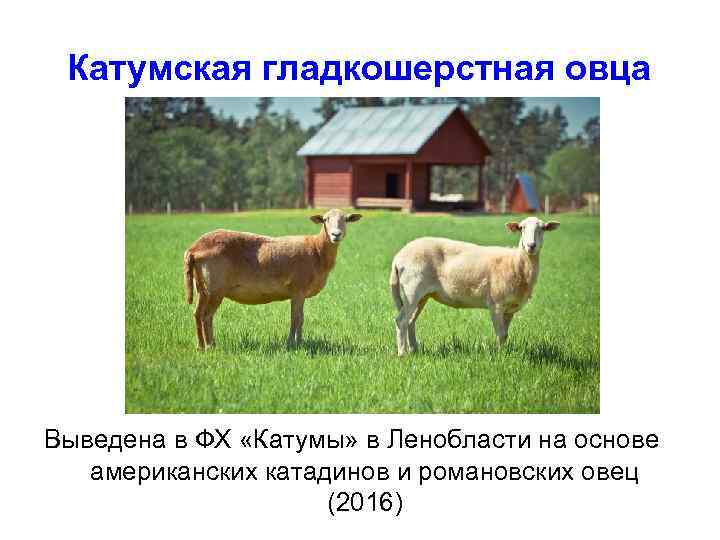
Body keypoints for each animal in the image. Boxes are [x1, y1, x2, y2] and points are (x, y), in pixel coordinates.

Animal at [183, 209, 362, 350]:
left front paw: (299, 342)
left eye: (346, 219)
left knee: (197, 313)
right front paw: (293, 344)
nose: (336, 235)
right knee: (207, 316)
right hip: (215, 287)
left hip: (202, 287)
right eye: (325, 219)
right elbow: (296, 318)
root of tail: (193, 249)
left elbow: (300, 318)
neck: (317, 250)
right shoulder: (298, 290)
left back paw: (200, 346)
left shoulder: (300, 293)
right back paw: (211, 346)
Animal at [389, 216, 559, 355]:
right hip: (412, 290)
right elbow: (500, 334)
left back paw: (414, 350)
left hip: (422, 296)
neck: (516, 263)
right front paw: (500, 357)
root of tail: (398, 257)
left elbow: (505, 335)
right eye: (521, 228)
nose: (531, 245)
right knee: (401, 321)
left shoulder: (510, 309)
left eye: (543, 228)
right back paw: (402, 354)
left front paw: (504, 353)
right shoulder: (496, 304)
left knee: (410, 321)